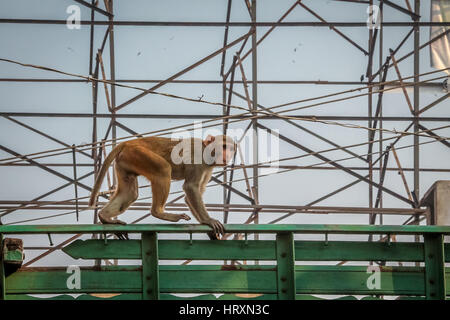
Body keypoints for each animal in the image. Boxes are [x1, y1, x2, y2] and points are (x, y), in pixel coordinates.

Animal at [88, 134, 236, 240]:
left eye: (231, 148)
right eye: (224, 146)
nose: (228, 155)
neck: (207, 150)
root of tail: (128, 143)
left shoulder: (207, 169)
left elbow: (191, 195)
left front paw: (209, 231)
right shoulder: (198, 158)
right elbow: (190, 187)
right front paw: (208, 220)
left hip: (126, 160)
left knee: (129, 193)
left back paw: (104, 217)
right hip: (138, 153)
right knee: (163, 169)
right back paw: (159, 212)